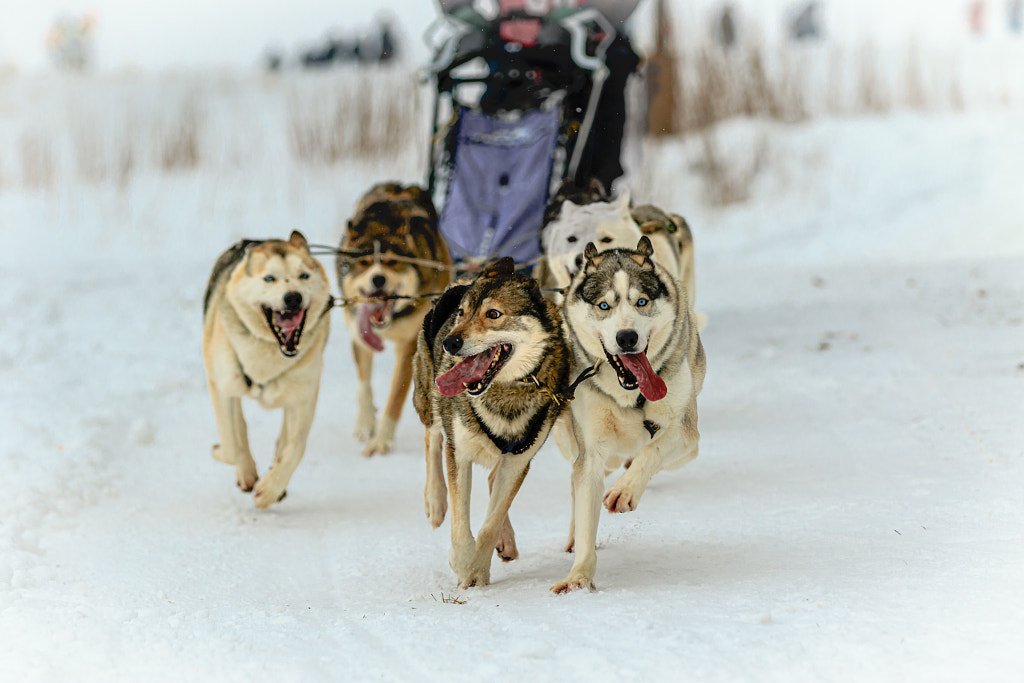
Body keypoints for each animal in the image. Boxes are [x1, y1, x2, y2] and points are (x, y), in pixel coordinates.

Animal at [205, 233, 333, 507]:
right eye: (269, 278)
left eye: (304, 275)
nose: (293, 297)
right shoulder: (221, 386)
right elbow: (231, 445)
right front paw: (227, 455)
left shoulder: (303, 398)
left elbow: (295, 448)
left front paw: (270, 489)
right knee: (239, 426)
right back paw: (246, 471)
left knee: (282, 440)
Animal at [337, 184, 450, 456]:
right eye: (364, 263)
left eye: (392, 262)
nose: (378, 279)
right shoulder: (359, 333)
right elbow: (363, 384)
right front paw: (366, 422)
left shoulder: (410, 344)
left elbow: (395, 397)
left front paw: (381, 440)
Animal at [415, 259, 577, 589]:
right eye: (462, 313)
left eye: (493, 314)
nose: (451, 342)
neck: (504, 392)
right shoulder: (460, 453)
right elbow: (460, 523)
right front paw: (463, 563)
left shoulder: (518, 461)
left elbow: (491, 522)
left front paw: (478, 568)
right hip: (429, 399)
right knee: (432, 438)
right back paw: (435, 502)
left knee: (492, 482)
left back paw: (506, 540)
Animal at [552, 236, 704, 593]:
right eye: (604, 306)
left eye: (641, 302)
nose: (626, 337)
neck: (630, 394)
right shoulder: (591, 452)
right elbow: (585, 502)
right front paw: (579, 576)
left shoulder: (687, 435)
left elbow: (653, 449)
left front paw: (626, 490)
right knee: (576, 480)